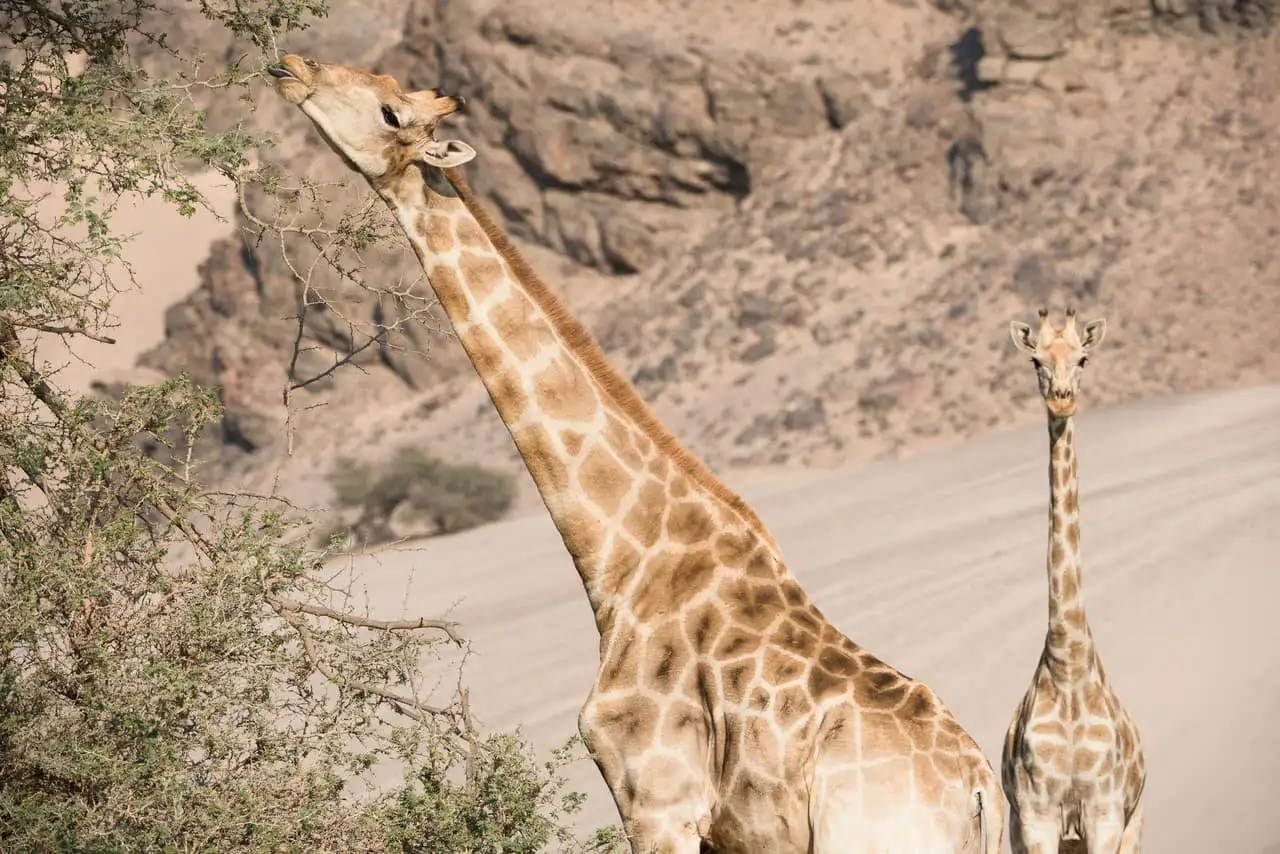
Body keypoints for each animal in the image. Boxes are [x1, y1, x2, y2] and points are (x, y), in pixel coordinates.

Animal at [1003, 311, 1146, 854]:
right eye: (1036, 361)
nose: (1062, 398)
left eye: (1083, 358)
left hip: (1135, 822)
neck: (1068, 664)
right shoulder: (1035, 815)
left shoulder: (1106, 811)